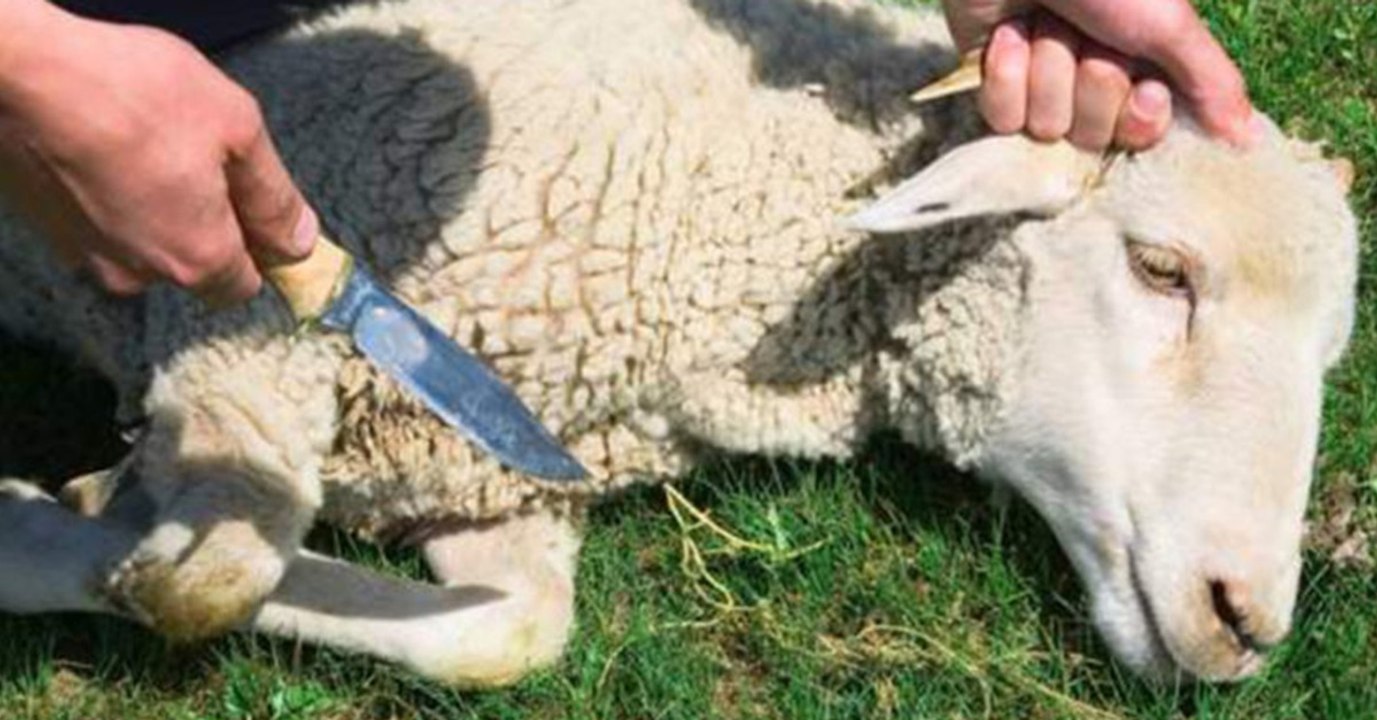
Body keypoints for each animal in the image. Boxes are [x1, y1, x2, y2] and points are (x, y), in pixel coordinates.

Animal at [0, 0, 1358, 687]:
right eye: (1161, 268)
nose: (1249, 622)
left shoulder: (488, 469)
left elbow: (504, 637)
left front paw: (90, 507)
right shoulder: (239, 289)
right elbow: (212, 574)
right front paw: (60, 525)